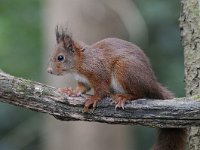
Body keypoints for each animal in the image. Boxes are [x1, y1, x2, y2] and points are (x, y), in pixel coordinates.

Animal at [47, 26, 188, 150]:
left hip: (125, 69)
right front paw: (70, 91)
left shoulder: (98, 72)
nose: (48, 71)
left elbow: (101, 89)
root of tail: (152, 83)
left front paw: (93, 98)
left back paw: (123, 97)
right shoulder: (83, 82)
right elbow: (81, 89)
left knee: (140, 93)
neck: (80, 62)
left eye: (60, 57)